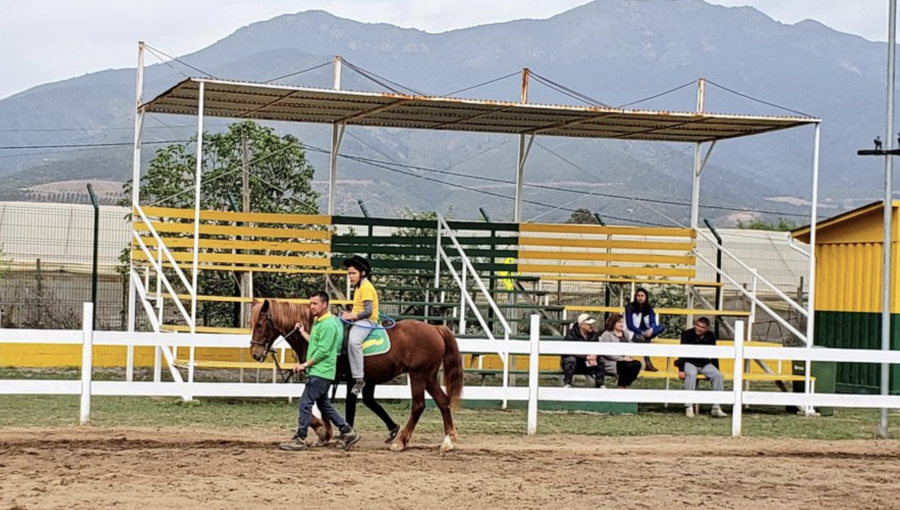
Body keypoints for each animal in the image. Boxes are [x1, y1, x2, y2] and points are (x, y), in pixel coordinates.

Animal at [248, 296, 464, 452]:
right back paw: (447, 440)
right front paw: (328, 434)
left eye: (260, 324)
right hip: (428, 377)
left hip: (418, 376)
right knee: (443, 401)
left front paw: (325, 433)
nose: (255, 354)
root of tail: (436, 328)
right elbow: (324, 406)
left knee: (418, 406)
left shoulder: (328, 378)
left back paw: (401, 442)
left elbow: (318, 405)